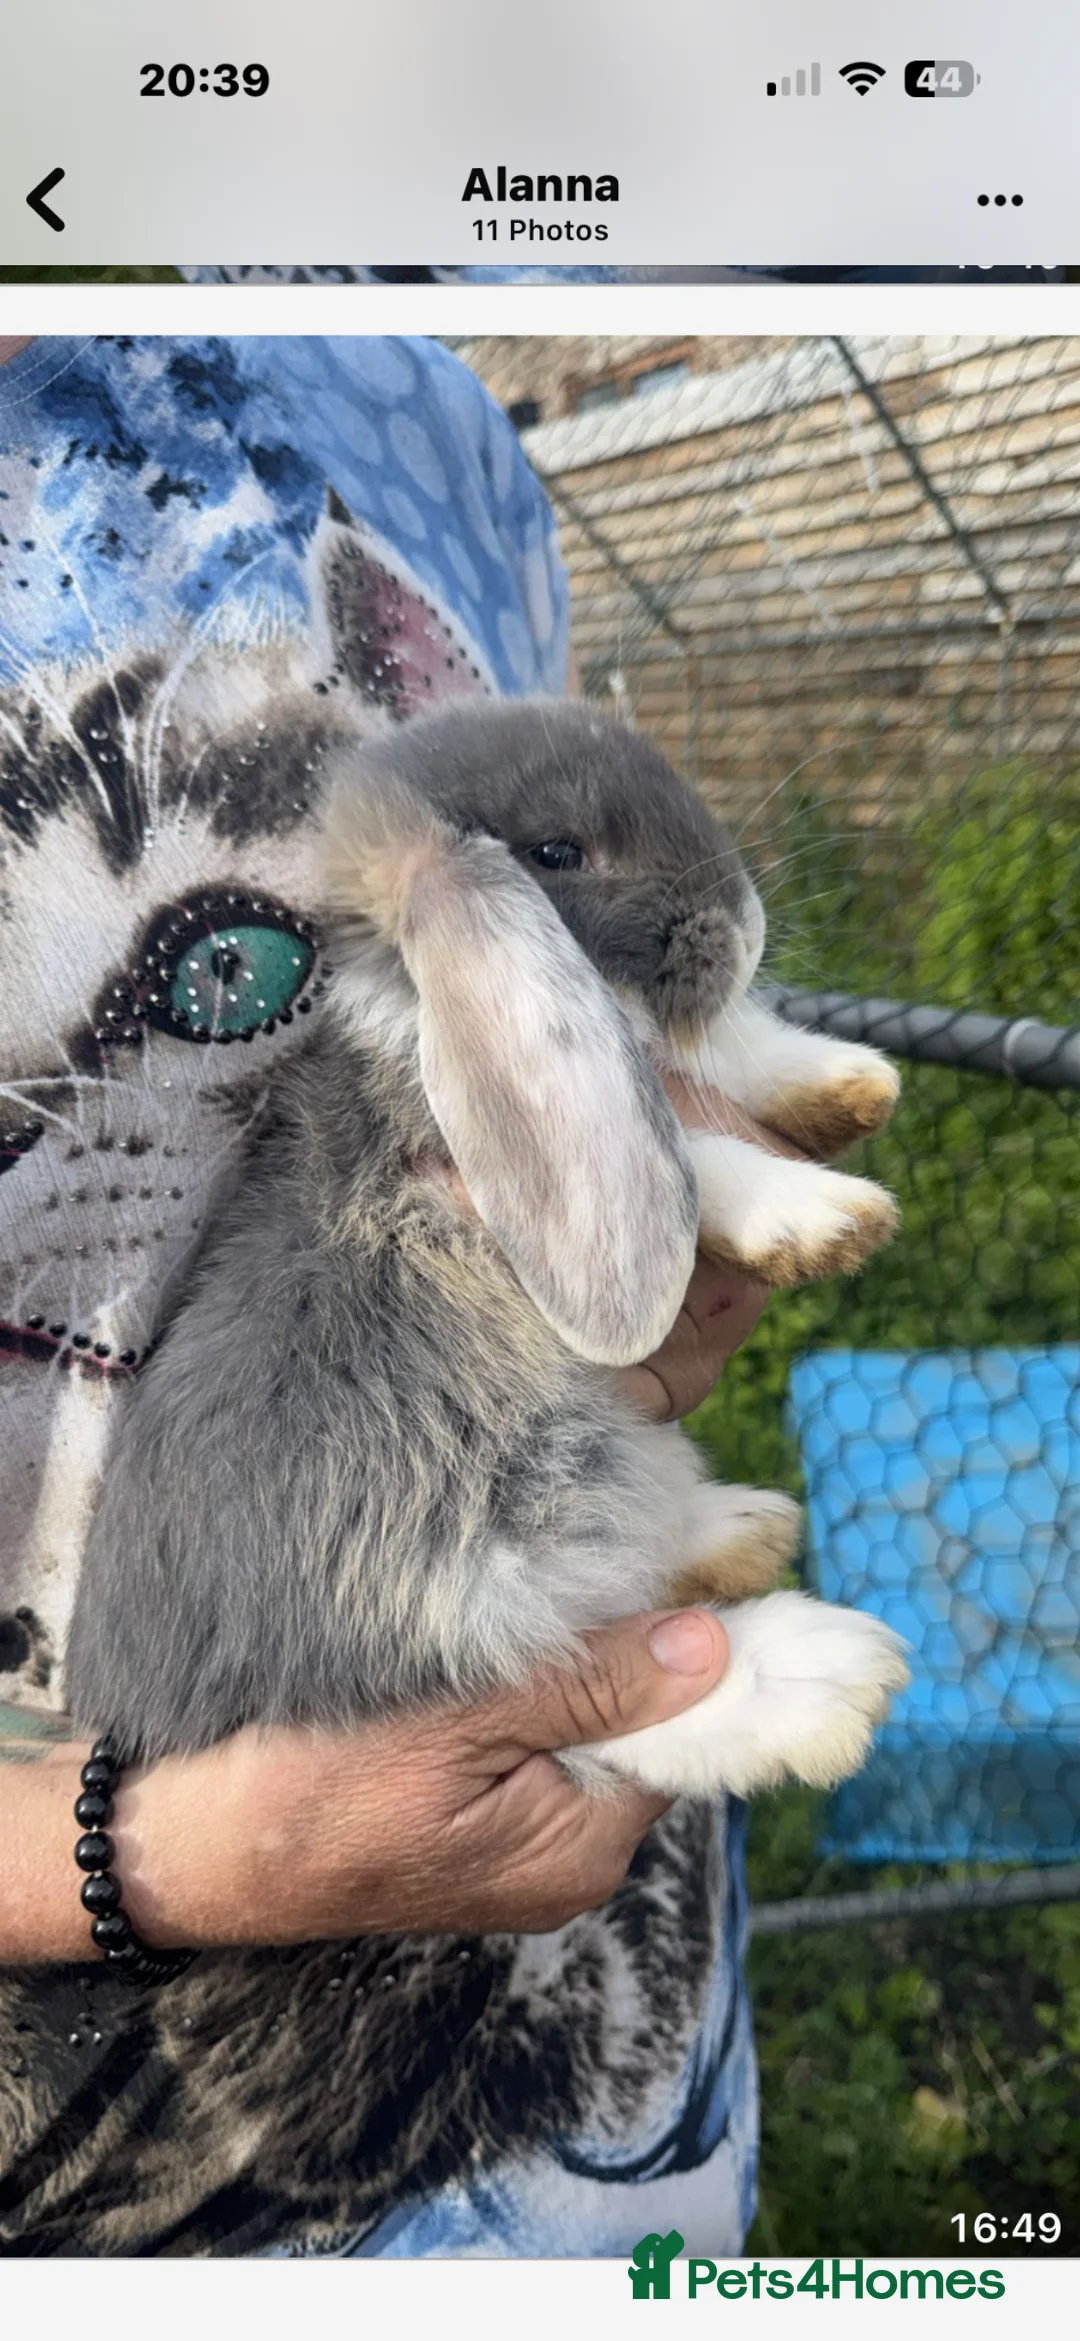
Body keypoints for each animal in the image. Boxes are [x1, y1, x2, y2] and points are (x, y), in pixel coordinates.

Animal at [66, 698, 909, 1796]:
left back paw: (743, 1526)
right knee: (570, 1690)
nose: (748, 928)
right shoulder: (446, 1176)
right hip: (448, 1569)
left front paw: (844, 1079)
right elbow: (690, 1157)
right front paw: (826, 1215)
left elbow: (711, 1067)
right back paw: (820, 1679)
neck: (411, 1009)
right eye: (557, 852)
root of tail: (140, 1713)